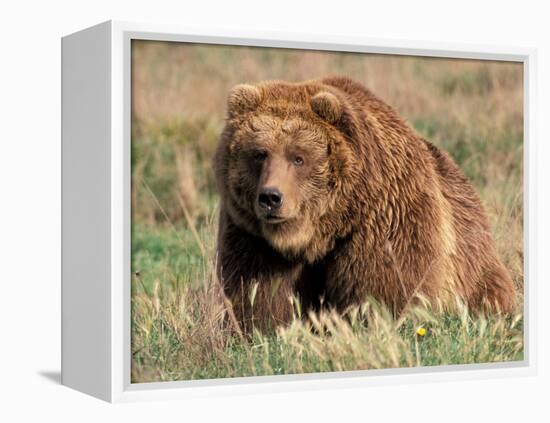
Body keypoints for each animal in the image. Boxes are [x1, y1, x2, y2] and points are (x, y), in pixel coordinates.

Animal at [215, 76, 516, 334]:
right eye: (259, 154)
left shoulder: (385, 220)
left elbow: (387, 290)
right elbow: (261, 295)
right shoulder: (253, 238)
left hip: (472, 260)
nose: (271, 197)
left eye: (298, 157)